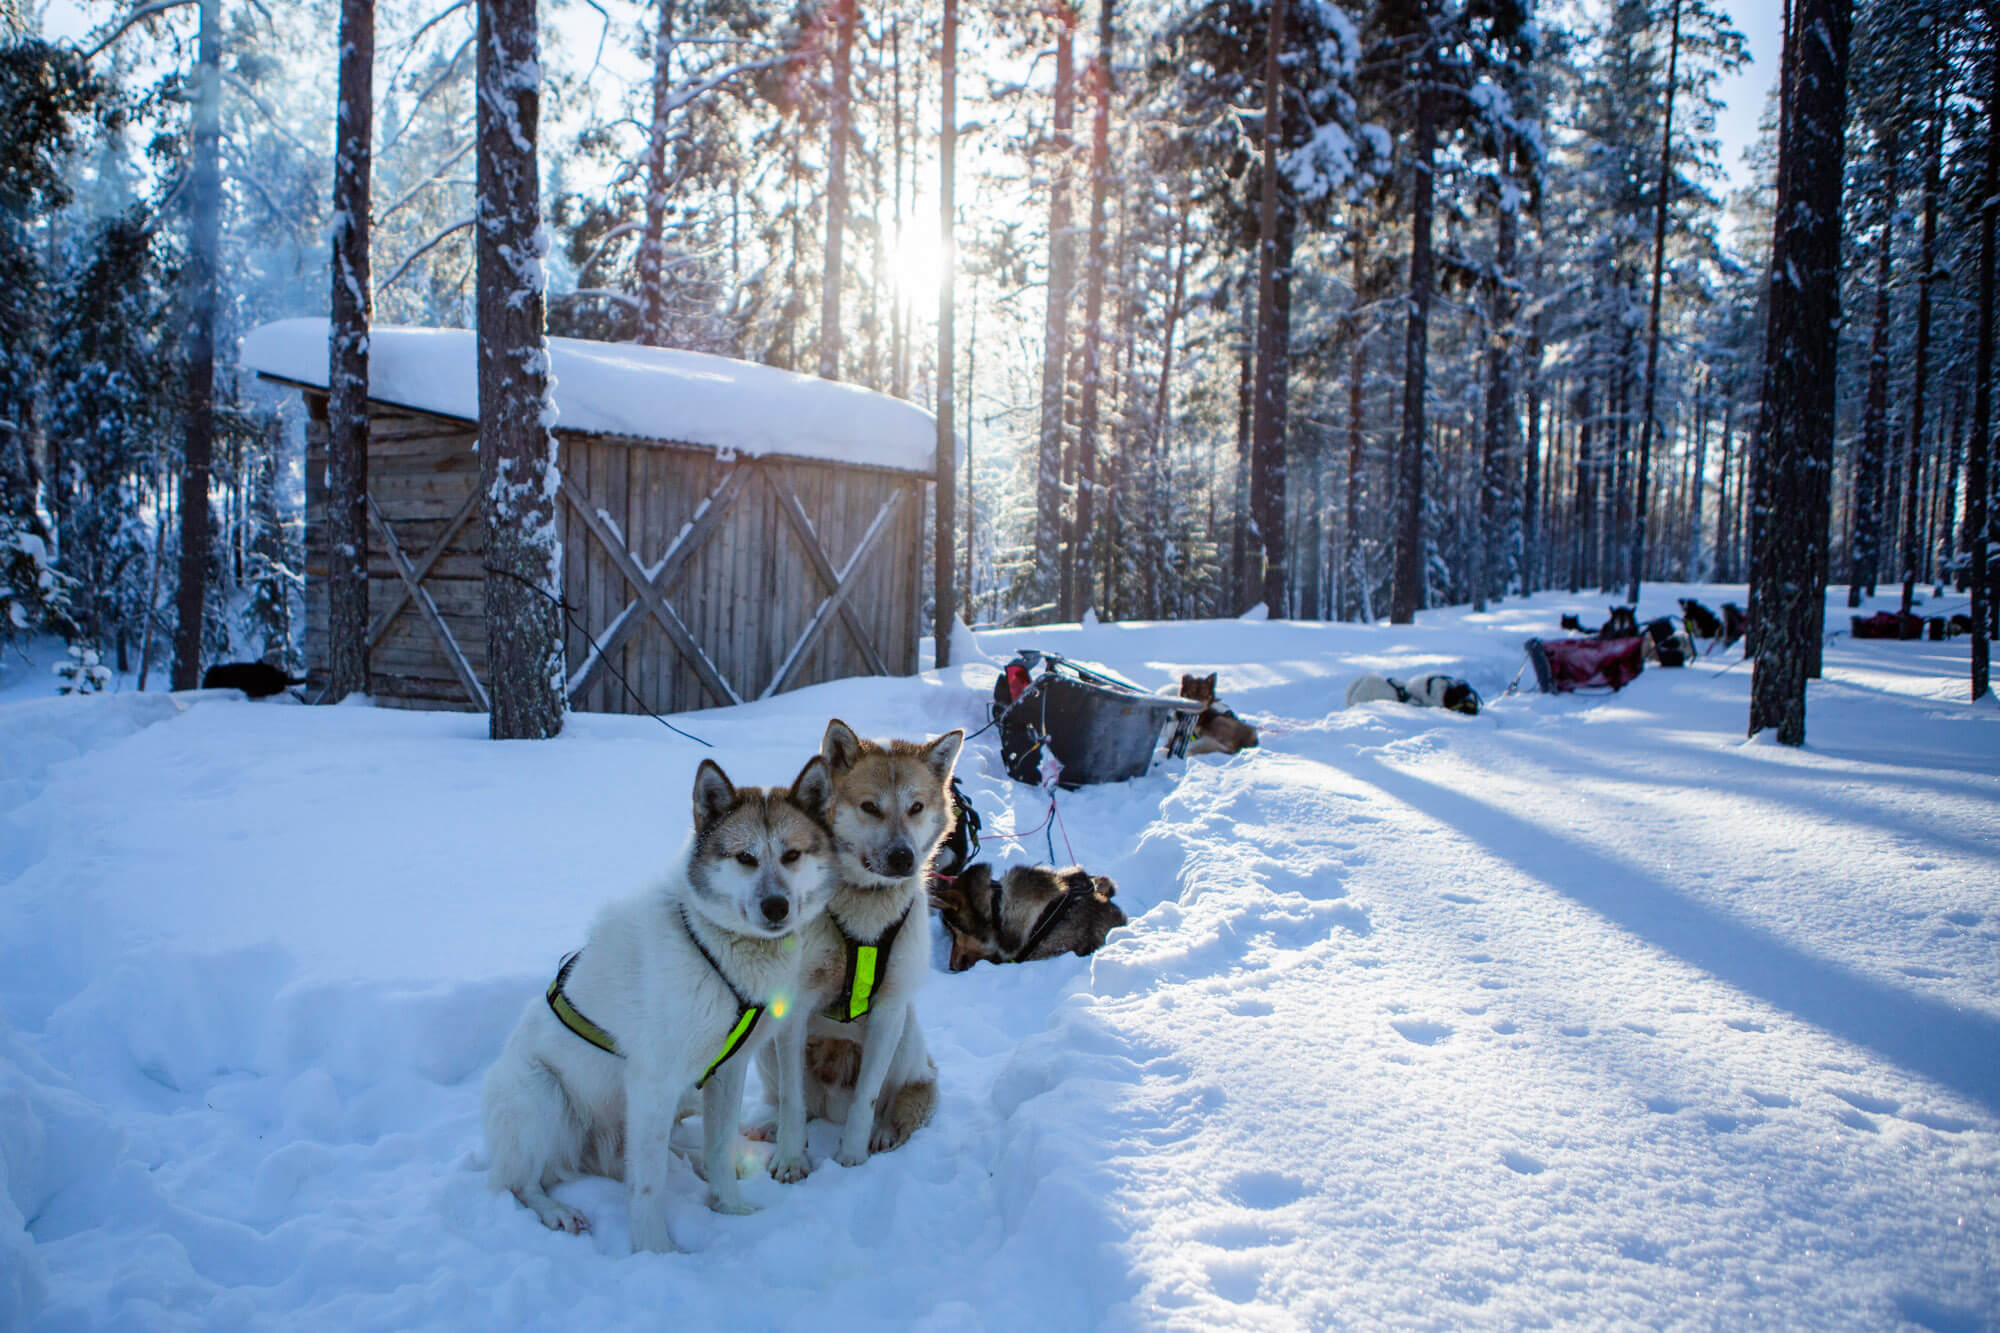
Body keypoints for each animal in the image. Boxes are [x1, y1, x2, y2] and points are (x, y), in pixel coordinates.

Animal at [484, 756, 836, 1248]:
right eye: (745, 858)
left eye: (792, 855)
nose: (776, 906)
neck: (713, 945)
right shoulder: (653, 1083)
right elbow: (648, 1186)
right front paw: (656, 1252)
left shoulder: (726, 1070)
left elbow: (718, 1144)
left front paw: (729, 1207)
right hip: (544, 1098)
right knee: (521, 1182)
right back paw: (558, 1211)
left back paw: (693, 1160)